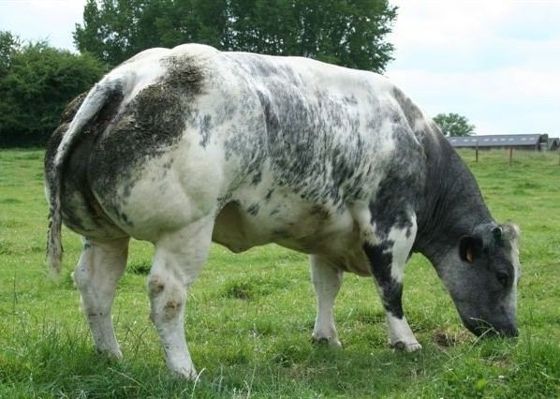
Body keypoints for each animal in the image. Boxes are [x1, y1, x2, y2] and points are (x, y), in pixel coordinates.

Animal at [44, 44, 520, 382]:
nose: (511, 334)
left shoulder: (329, 232)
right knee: (166, 293)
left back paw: (111, 356)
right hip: (186, 228)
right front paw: (405, 341)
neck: (416, 140)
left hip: (103, 234)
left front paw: (326, 337)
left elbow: (325, 286)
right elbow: (391, 289)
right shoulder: (391, 225)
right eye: (503, 276)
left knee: (94, 288)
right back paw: (184, 371)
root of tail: (126, 76)